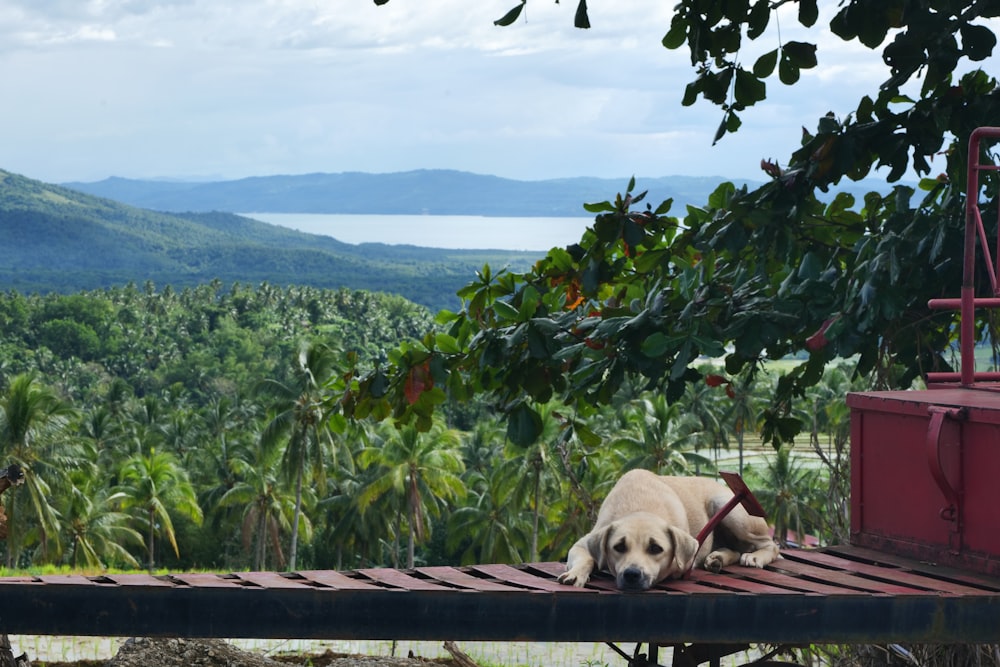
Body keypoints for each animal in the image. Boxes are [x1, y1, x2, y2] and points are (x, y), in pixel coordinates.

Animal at [556, 470, 780, 588]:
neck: (640, 507)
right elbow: (586, 558)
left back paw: (756, 557)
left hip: (731, 509)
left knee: (771, 545)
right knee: (736, 548)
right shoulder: (582, 544)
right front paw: (576, 574)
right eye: (618, 547)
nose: (632, 574)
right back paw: (717, 558)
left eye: (656, 549)